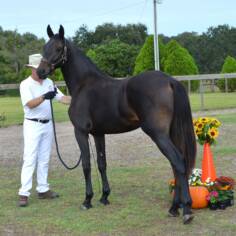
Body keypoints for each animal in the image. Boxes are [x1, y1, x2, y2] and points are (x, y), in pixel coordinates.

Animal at [36, 24, 195, 224]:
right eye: (44, 48)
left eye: (58, 48)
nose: (40, 72)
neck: (84, 84)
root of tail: (170, 81)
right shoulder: (98, 133)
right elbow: (101, 164)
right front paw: (104, 196)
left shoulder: (80, 132)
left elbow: (86, 165)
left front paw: (87, 200)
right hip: (171, 133)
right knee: (176, 164)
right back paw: (174, 208)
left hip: (158, 135)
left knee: (178, 161)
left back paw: (186, 210)